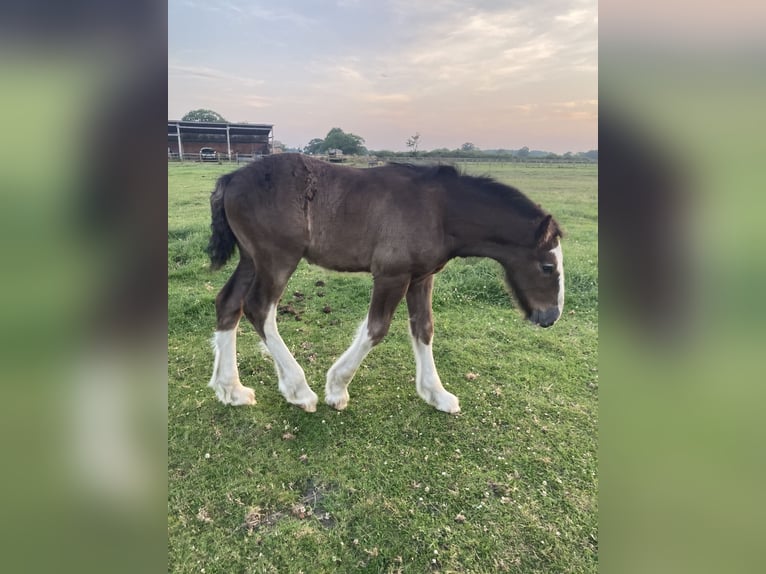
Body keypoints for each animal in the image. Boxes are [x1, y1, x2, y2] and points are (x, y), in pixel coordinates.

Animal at [205, 153, 564, 414]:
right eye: (548, 267)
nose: (550, 317)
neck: (439, 210)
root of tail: (231, 178)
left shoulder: (421, 277)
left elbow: (424, 328)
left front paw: (437, 394)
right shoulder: (392, 274)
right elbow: (376, 328)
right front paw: (337, 388)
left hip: (251, 259)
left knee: (229, 303)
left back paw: (231, 389)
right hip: (277, 258)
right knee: (258, 308)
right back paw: (298, 390)